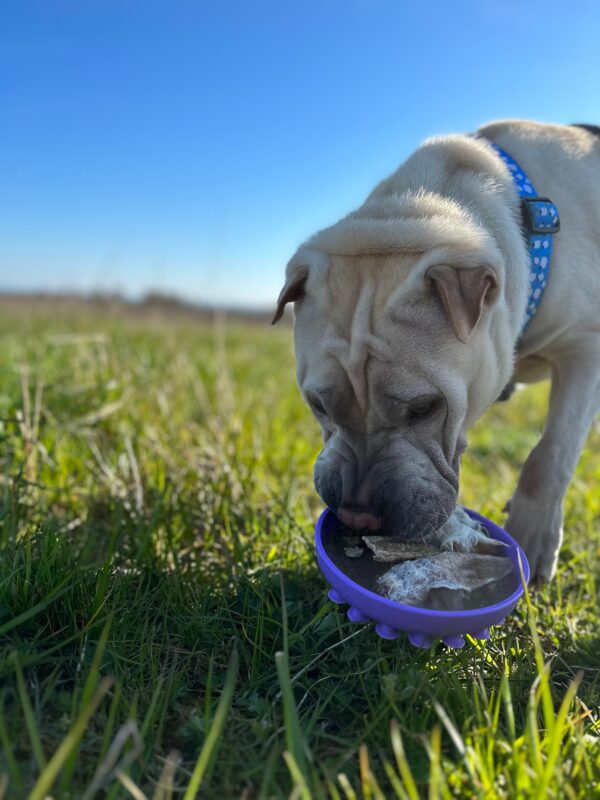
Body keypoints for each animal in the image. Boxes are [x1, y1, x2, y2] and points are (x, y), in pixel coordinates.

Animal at [274, 120, 600, 580]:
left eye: (424, 408)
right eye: (318, 404)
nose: (358, 515)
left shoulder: (585, 347)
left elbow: (551, 455)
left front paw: (532, 541)